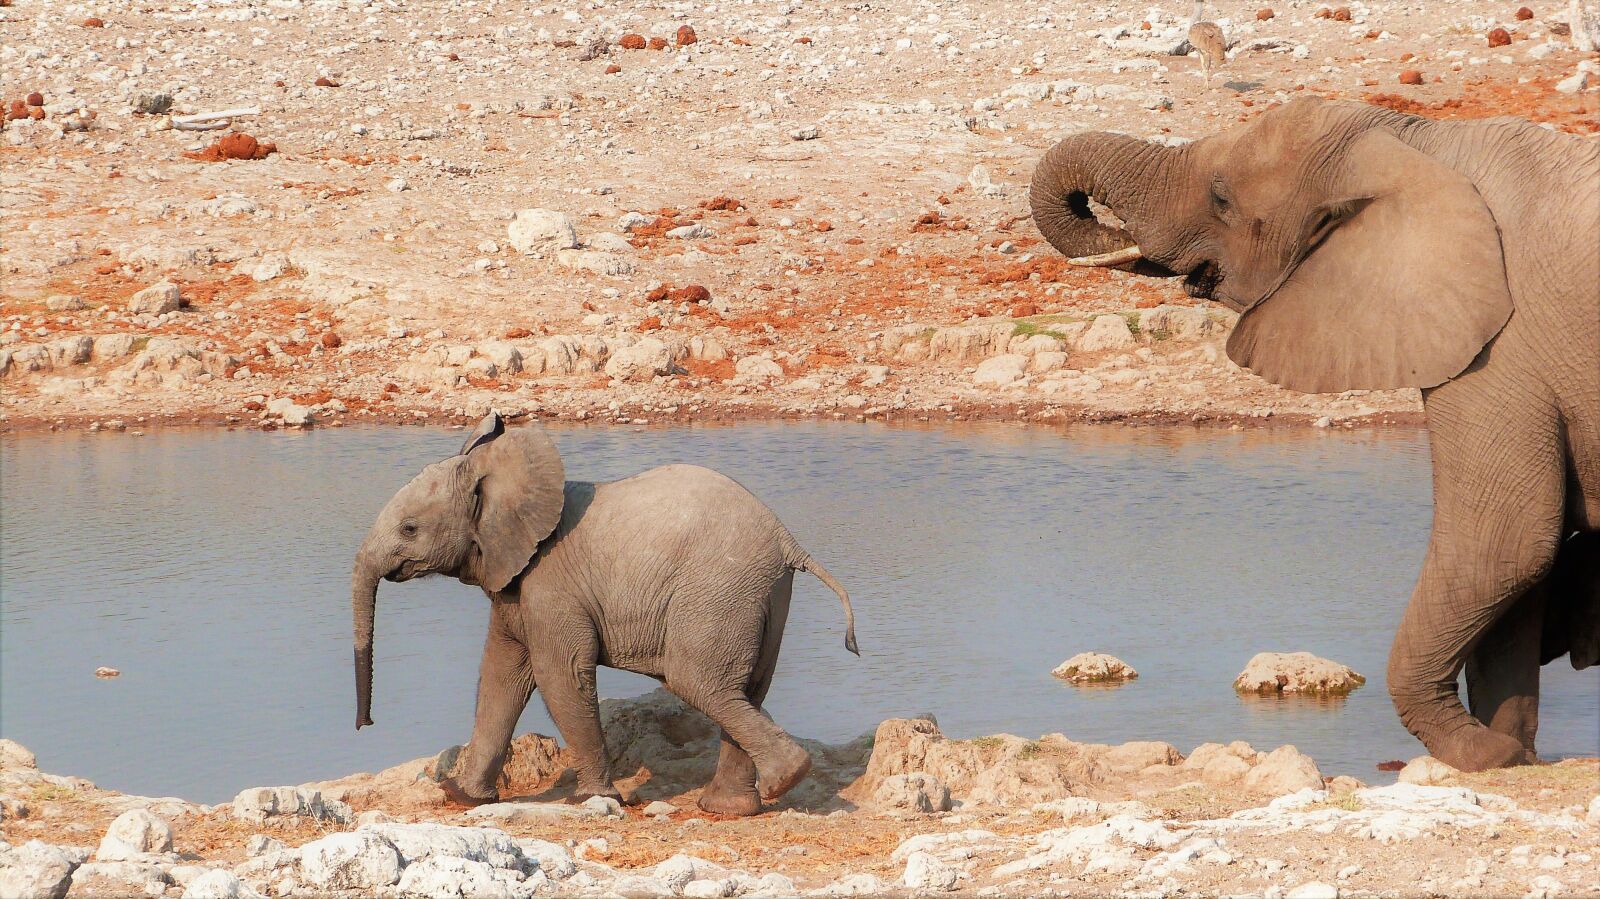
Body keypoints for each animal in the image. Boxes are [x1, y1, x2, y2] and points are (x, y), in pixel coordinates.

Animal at [347, 412, 851, 812]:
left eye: (409, 529)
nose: (364, 724)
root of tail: (786, 538)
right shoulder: (514, 585)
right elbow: (500, 674)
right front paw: (463, 797)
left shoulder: (549, 583)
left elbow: (559, 674)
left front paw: (593, 800)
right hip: (763, 593)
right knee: (748, 688)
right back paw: (733, 807)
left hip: (719, 591)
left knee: (700, 682)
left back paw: (786, 778)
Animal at [1030, 97, 1600, 771]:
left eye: (1221, 197)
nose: (1108, 229)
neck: (1418, 143)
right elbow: (1521, 574)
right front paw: (1509, 753)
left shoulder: (1504, 349)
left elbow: (1504, 541)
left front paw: (1480, 752)